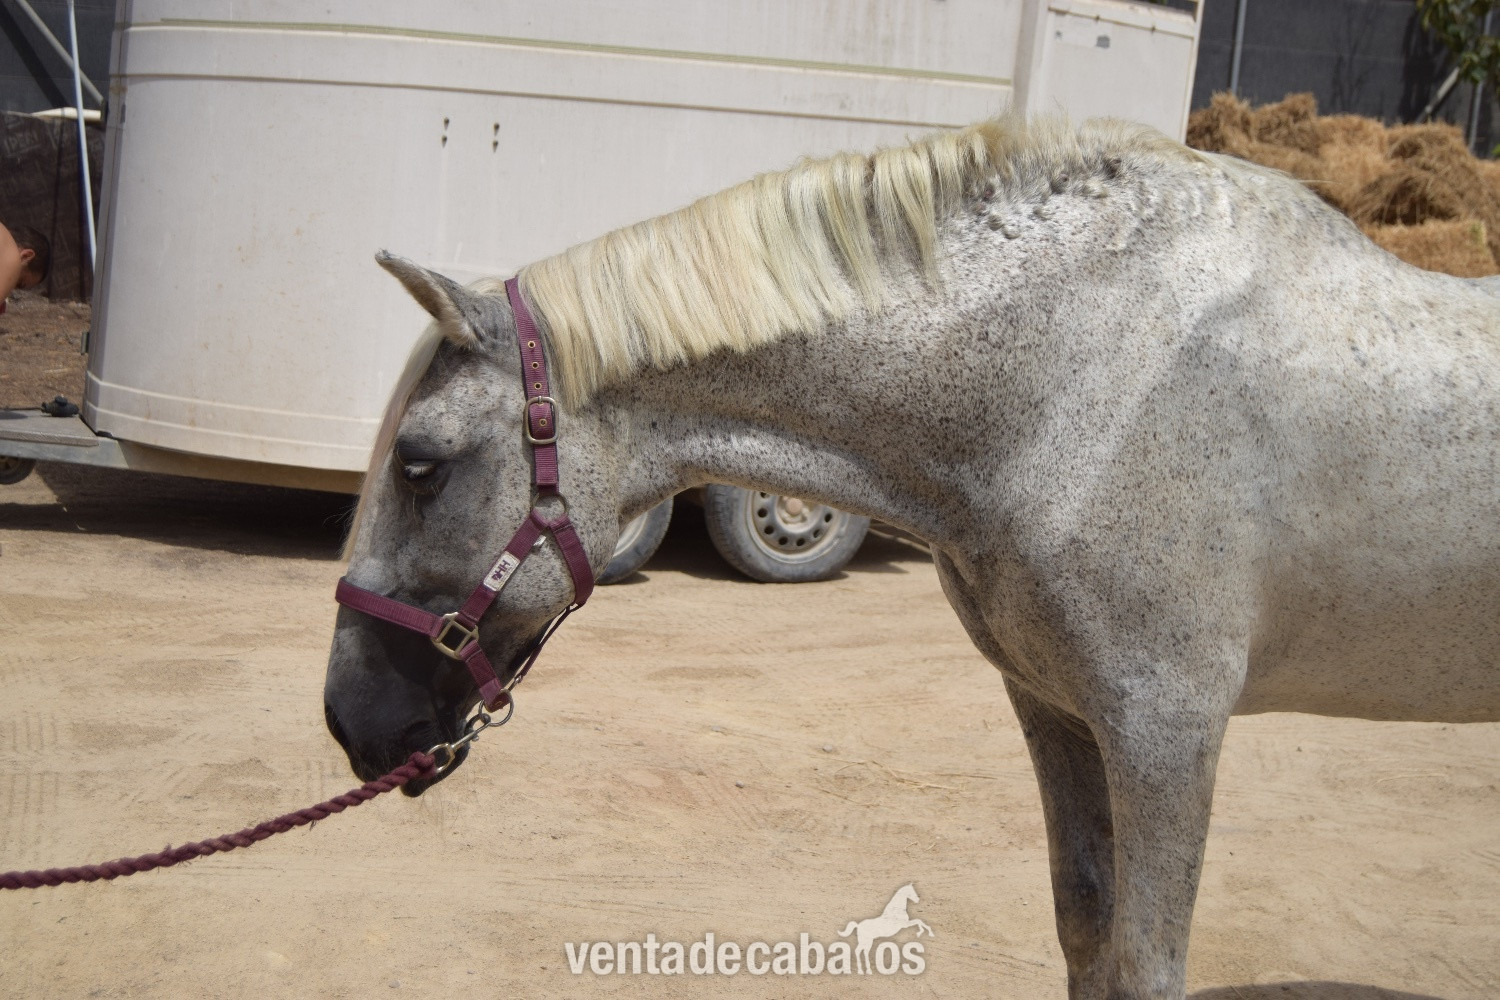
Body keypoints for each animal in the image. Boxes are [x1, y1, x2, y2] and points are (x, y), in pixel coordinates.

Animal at [322, 114, 1500, 999]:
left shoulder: (1168, 728)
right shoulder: (1059, 709)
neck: (1087, 375)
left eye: (420, 464)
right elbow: (1086, 927)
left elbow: (1146, 960)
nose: (350, 720)